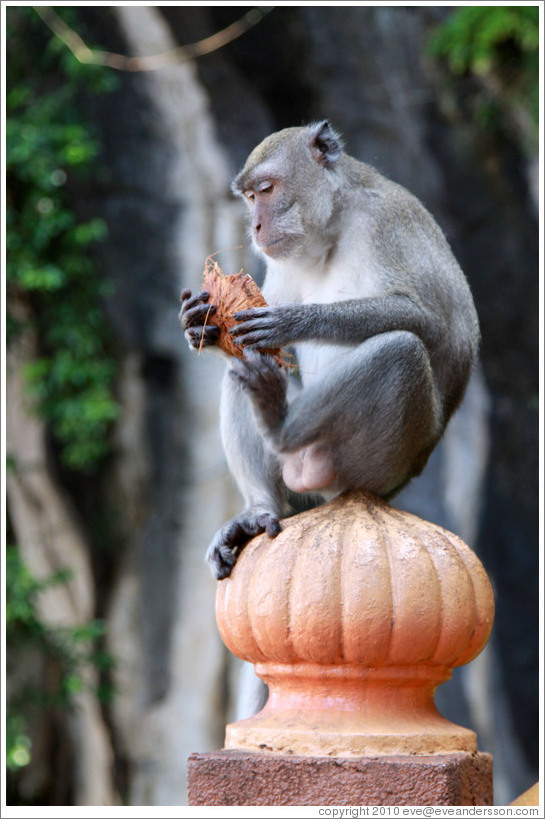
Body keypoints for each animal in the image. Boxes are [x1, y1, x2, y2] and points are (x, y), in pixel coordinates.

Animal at [180, 120, 476, 584]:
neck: (333, 227)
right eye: (249, 198)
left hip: (375, 462)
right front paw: (200, 324)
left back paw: (279, 424)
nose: (256, 227)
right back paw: (259, 508)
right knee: (243, 369)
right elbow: (249, 340)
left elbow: (431, 323)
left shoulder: (387, 221)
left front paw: (296, 320)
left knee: (401, 350)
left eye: (265, 189)